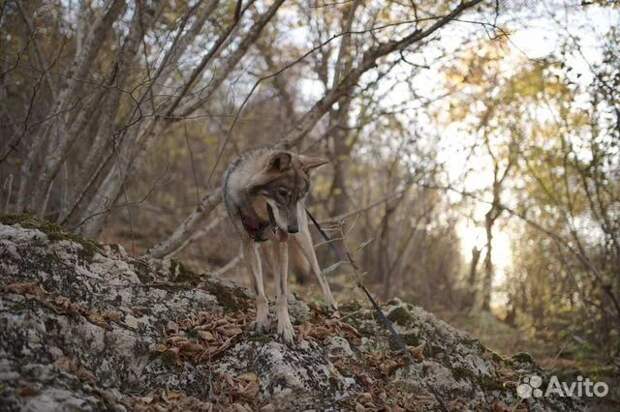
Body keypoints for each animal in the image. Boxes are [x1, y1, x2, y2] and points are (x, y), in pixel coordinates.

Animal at [223, 148, 340, 344]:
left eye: (299, 197)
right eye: (282, 193)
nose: (292, 229)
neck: (258, 216)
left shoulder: (280, 243)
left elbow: (282, 293)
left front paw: (285, 328)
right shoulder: (247, 245)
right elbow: (259, 292)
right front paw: (261, 321)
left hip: (303, 240)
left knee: (319, 273)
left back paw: (331, 305)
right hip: (267, 249)